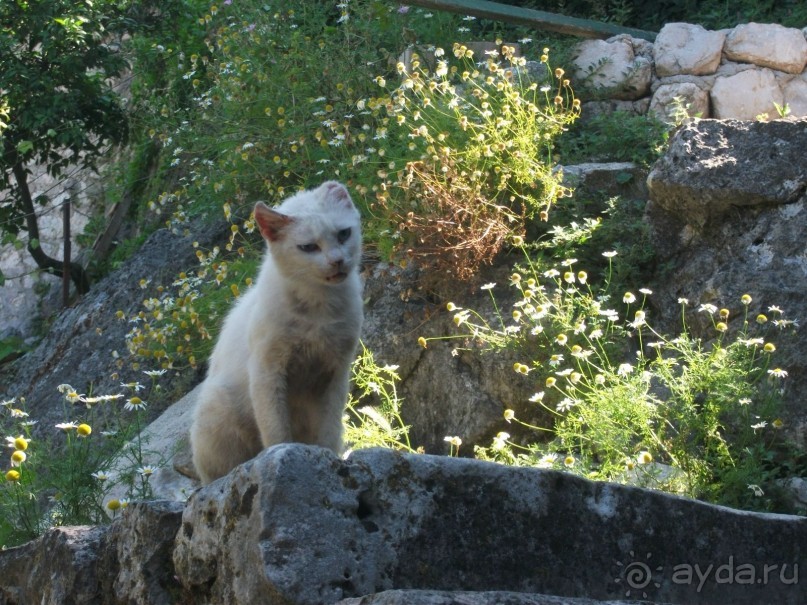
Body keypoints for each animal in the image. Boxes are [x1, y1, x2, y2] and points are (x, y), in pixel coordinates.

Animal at [191, 182, 362, 484]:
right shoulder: (267, 373)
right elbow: (276, 431)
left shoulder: (336, 373)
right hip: (217, 409)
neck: (319, 309)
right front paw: (285, 457)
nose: (338, 261)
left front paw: (330, 459)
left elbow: (329, 430)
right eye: (308, 247)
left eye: (344, 233)